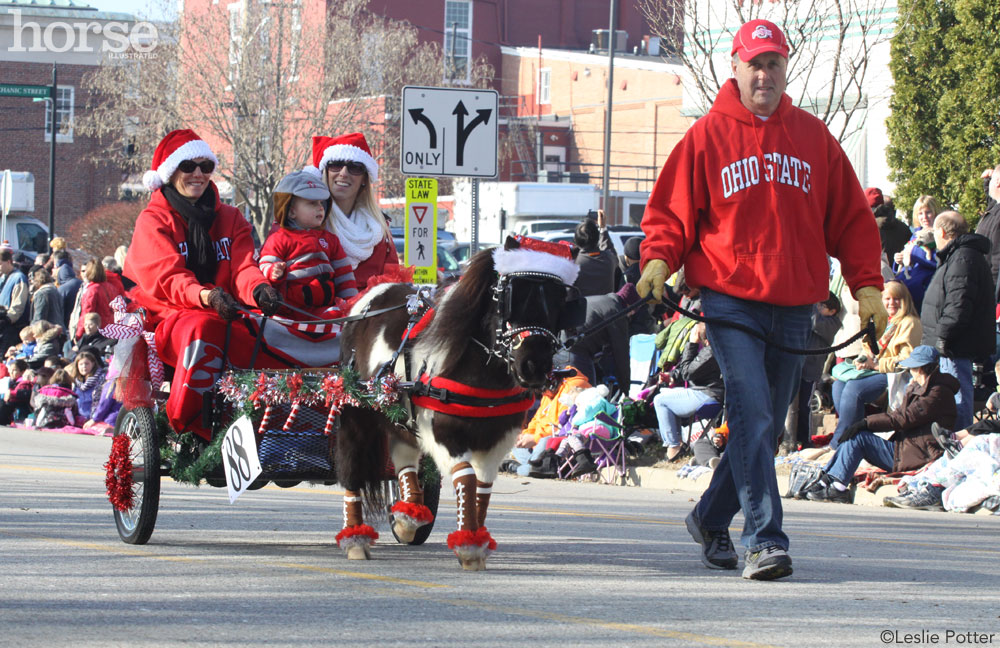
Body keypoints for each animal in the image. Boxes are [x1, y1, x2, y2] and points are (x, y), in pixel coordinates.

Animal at [334, 235, 580, 568]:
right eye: (510, 296)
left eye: (560, 302)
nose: (534, 366)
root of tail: (369, 298)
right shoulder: (442, 434)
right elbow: (466, 479)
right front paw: (469, 547)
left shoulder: (498, 439)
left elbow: (483, 487)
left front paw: (475, 541)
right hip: (356, 412)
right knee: (352, 468)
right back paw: (356, 539)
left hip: (401, 419)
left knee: (403, 458)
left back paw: (409, 517)